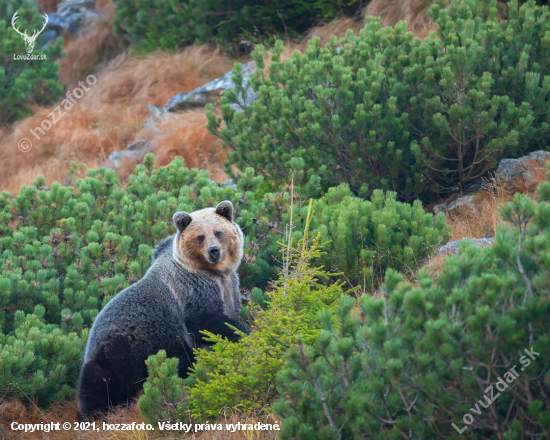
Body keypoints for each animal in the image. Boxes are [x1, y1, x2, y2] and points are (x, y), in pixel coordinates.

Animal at [77, 199, 250, 420]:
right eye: (200, 236)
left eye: (218, 232)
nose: (214, 251)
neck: (215, 273)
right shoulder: (192, 291)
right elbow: (207, 321)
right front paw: (243, 334)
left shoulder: (229, 288)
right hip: (125, 349)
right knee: (100, 388)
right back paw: (92, 414)